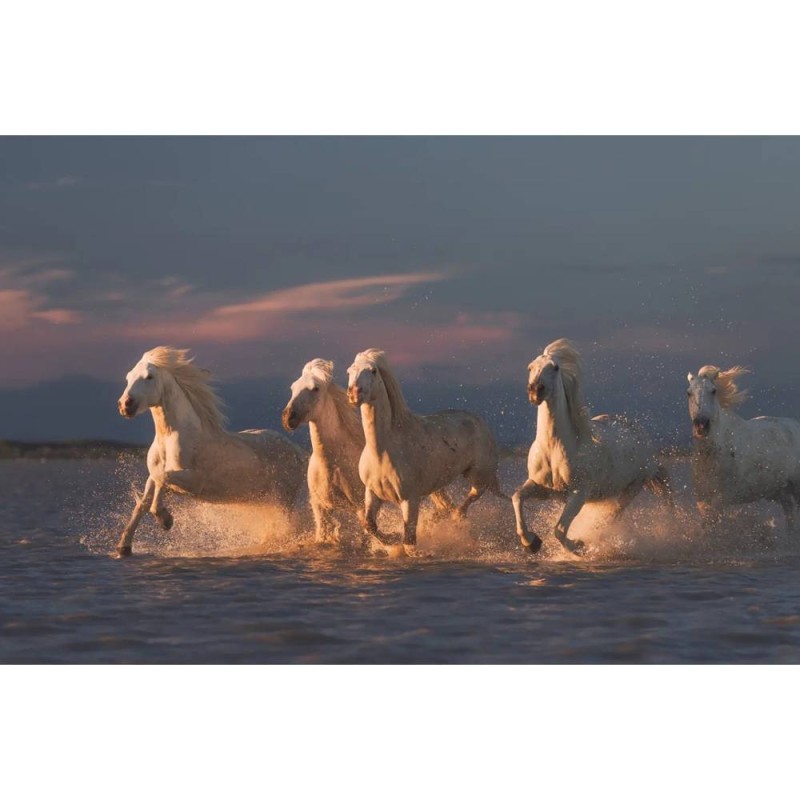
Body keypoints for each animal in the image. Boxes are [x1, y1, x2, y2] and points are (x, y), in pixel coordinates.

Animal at [115, 344, 306, 556]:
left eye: (149, 376)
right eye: (128, 376)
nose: (125, 405)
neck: (171, 438)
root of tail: (297, 451)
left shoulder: (193, 481)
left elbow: (163, 480)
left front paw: (166, 520)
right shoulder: (153, 476)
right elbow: (143, 502)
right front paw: (123, 547)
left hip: (283, 498)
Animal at [282, 360, 456, 548]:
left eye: (315, 388)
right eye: (293, 387)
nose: (288, 417)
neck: (333, 463)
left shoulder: (361, 505)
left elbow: (368, 535)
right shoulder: (320, 506)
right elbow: (324, 535)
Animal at [346, 346, 504, 552]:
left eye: (373, 371)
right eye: (349, 371)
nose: (354, 394)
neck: (382, 451)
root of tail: (479, 421)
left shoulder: (410, 499)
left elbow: (409, 542)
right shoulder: (373, 493)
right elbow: (369, 525)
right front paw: (391, 540)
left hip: (478, 476)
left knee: (470, 497)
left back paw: (456, 519)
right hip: (436, 486)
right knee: (444, 507)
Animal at [512, 340, 668, 556]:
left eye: (555, 367)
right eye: (530, 367)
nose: (536, 391)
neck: (554, 448)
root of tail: (642, 436)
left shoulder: (578, 494)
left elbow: (559, 530)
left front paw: (579, 546)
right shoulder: (540, 487)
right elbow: (517, 497)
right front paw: (531, 542)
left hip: (633, 487)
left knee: (610, 517)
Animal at [684, 364, 800, 532]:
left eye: (713, 391)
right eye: (689, 393)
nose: (701, 425)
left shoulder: (720, 499)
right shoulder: (702, 500)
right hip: (784, 492)